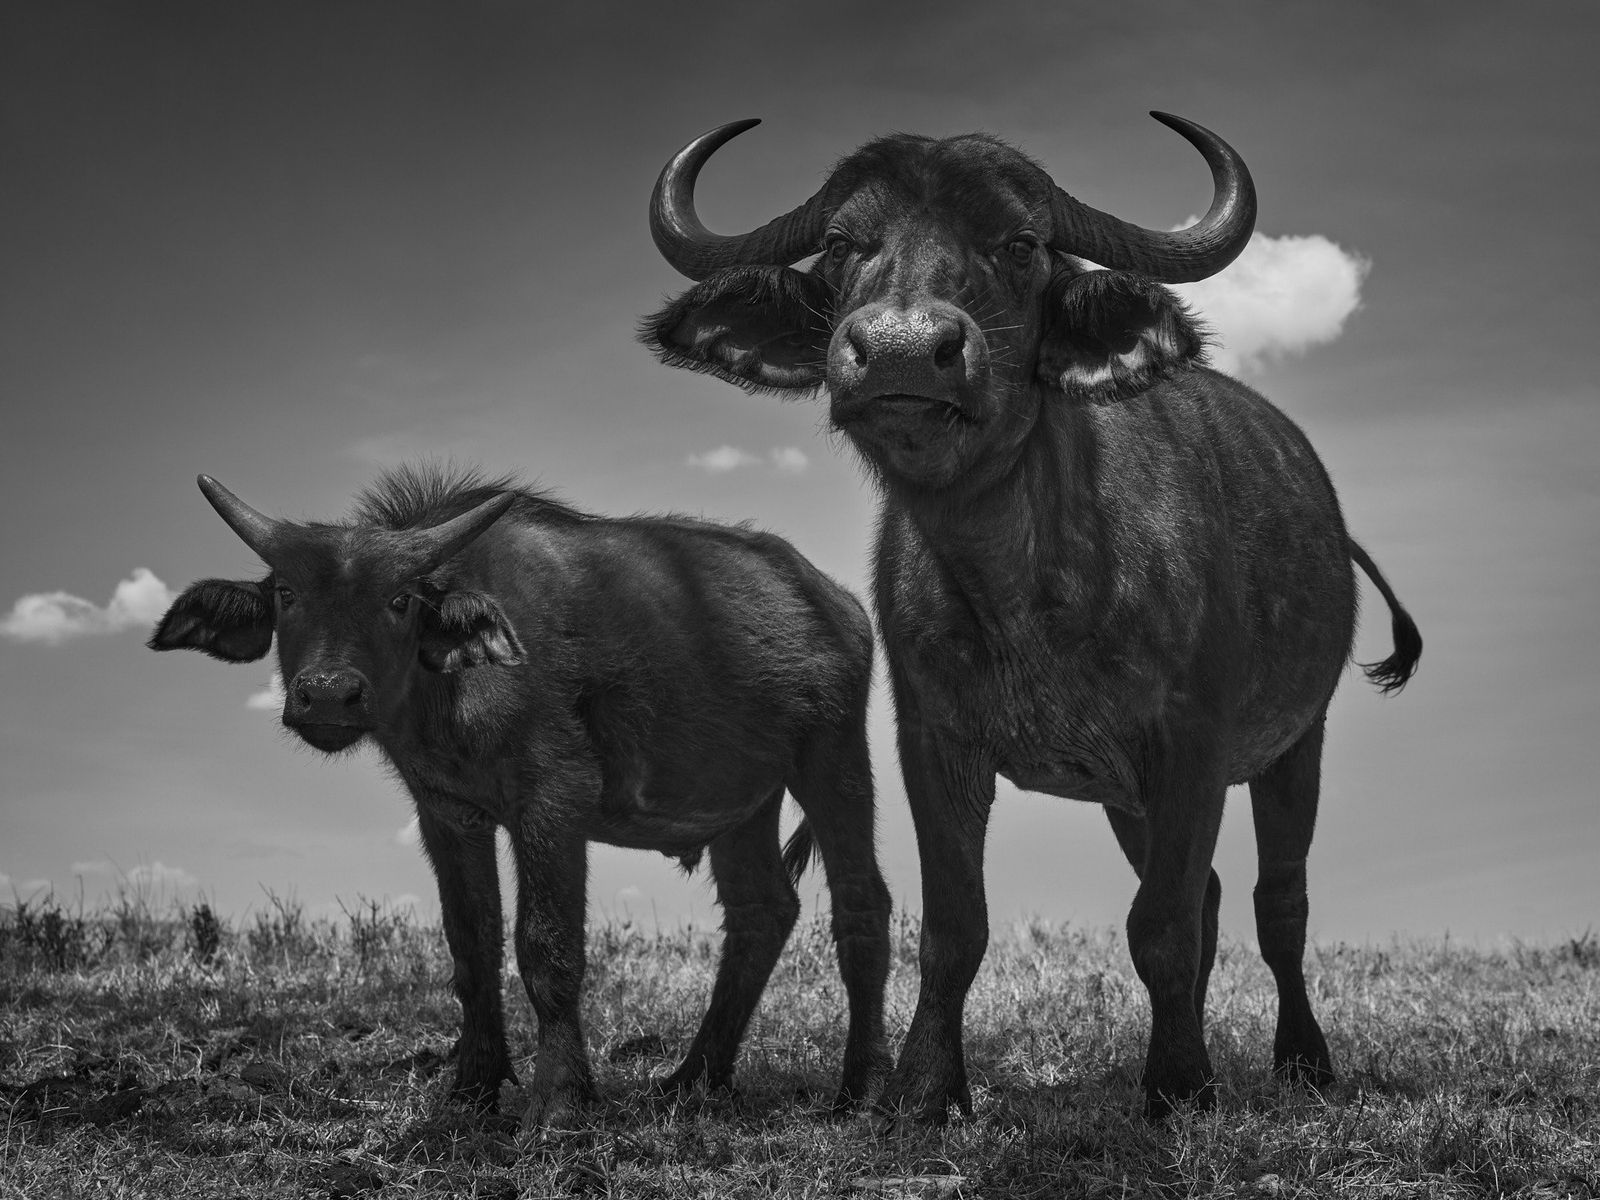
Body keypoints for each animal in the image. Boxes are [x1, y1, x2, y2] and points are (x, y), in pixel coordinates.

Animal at [149, 465, 891, 1126]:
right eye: (286, 592)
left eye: (399, 600)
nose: (328, 694)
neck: (455, 684)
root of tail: (837, 604)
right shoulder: (447, 814)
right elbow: (471, 944)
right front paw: (471, 1089)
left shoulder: (553, 802)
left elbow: (547, 945)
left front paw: (560, 1098)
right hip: (744, 802)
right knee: (762, 910)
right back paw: (693, 1077)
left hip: (833, 754)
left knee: (863, 902)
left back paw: (863, 1089)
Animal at [641, 113, 1421, 1120]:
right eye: (846, 244)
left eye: (1018, 244)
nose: (902, 351)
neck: (1023, 587)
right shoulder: (934, 740)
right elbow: (957, 924)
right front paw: (924, 1089)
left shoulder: (1194, 744)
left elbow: (1161, 923)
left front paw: (1179, 1084)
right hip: (1130, 799)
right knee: (1212, 895)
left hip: (1297, 741)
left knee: (1275, 903)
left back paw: (1303, 1060)